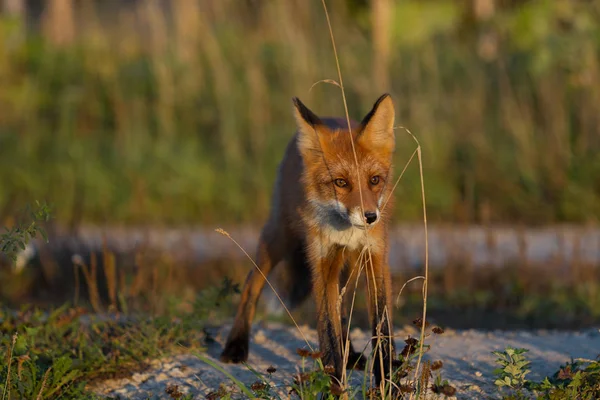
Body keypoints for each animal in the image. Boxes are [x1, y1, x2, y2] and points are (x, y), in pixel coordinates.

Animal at [220, 93, 398, 384]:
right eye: (340, 182)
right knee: (250, 284)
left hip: (348, 265)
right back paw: (235, 345)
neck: (345, 230)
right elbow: (327, 332)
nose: (371, 217)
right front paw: (336, 384)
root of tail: (328, 117)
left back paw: (352, 356)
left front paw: (388, 383)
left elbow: (381, 332)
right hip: (279, 238)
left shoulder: (376, 258)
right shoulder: (322, 262)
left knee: (343, 309)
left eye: (374, 180)